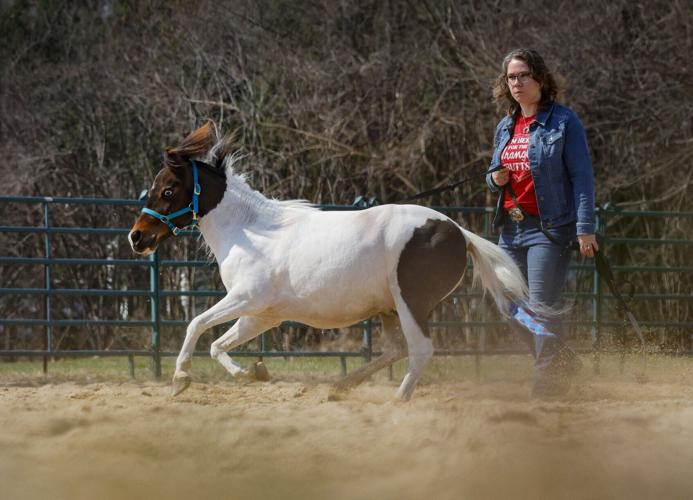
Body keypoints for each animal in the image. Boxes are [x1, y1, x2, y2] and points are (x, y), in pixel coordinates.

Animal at [128, 122, 529, 400]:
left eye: (168, 190)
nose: (137, 237)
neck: (250, 231)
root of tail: (458, 232)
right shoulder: (261, 315)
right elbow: (218, 344)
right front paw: (252, 373)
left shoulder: (245, 298)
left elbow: (196, 324)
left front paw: (180, 379)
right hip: (388, 308)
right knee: (396, 349)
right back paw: (341, 386)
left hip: (411, 303)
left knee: (419, 351)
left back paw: (397, 399)